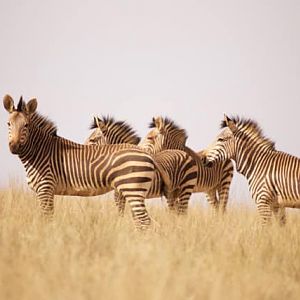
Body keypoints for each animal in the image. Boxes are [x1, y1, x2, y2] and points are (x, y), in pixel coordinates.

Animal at [2, 95, 166, 229]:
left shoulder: (45, 188)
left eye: (26, 125)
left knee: (145, 221)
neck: (40, 152)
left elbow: (47, 220)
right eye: (8, 124)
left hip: (132, 189)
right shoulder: (41, 191)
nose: (14, 147)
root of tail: (148, 155)